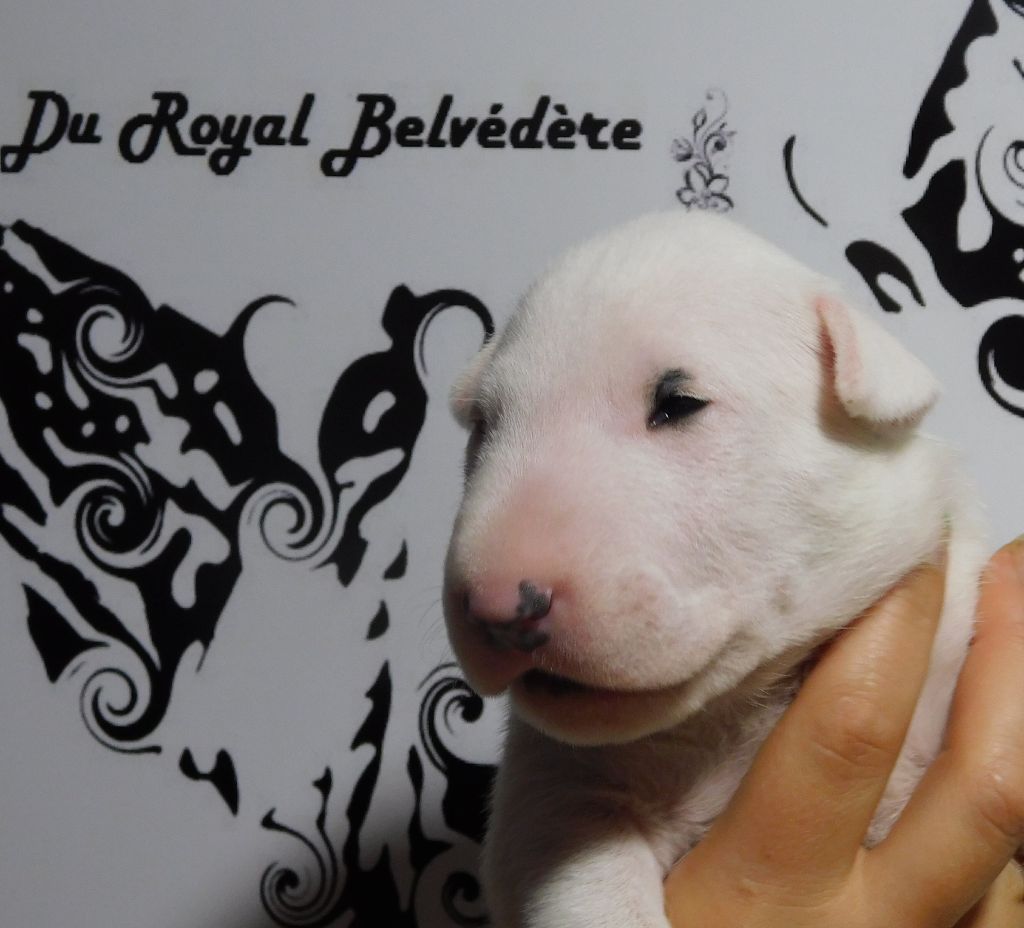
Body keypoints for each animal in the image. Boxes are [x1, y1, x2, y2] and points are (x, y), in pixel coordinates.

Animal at [442, 212, 987, 927]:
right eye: (483, 423)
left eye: (679, 402)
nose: (498, 608)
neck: (740, 713)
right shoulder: (553, 795)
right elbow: (576, 877)